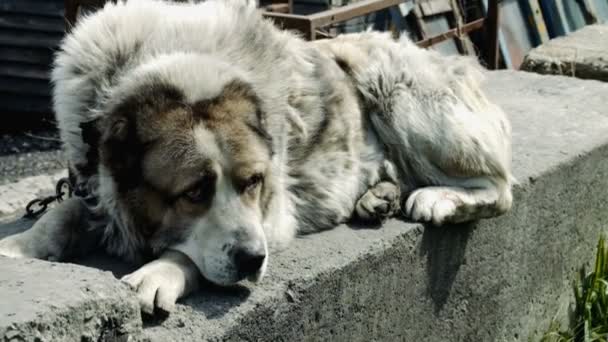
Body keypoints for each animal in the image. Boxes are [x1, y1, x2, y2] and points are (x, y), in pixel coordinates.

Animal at [0, 0, 512, 316]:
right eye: (194, 192)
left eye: (254, 182)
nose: (251, 260)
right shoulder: (91, 180)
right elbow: (62, 213)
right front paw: (20, 247)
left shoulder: (273, 217)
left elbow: (185, 252)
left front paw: (159, 272)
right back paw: (376, 197)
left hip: (397, 92)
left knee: (500, 188)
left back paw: (437, 198)